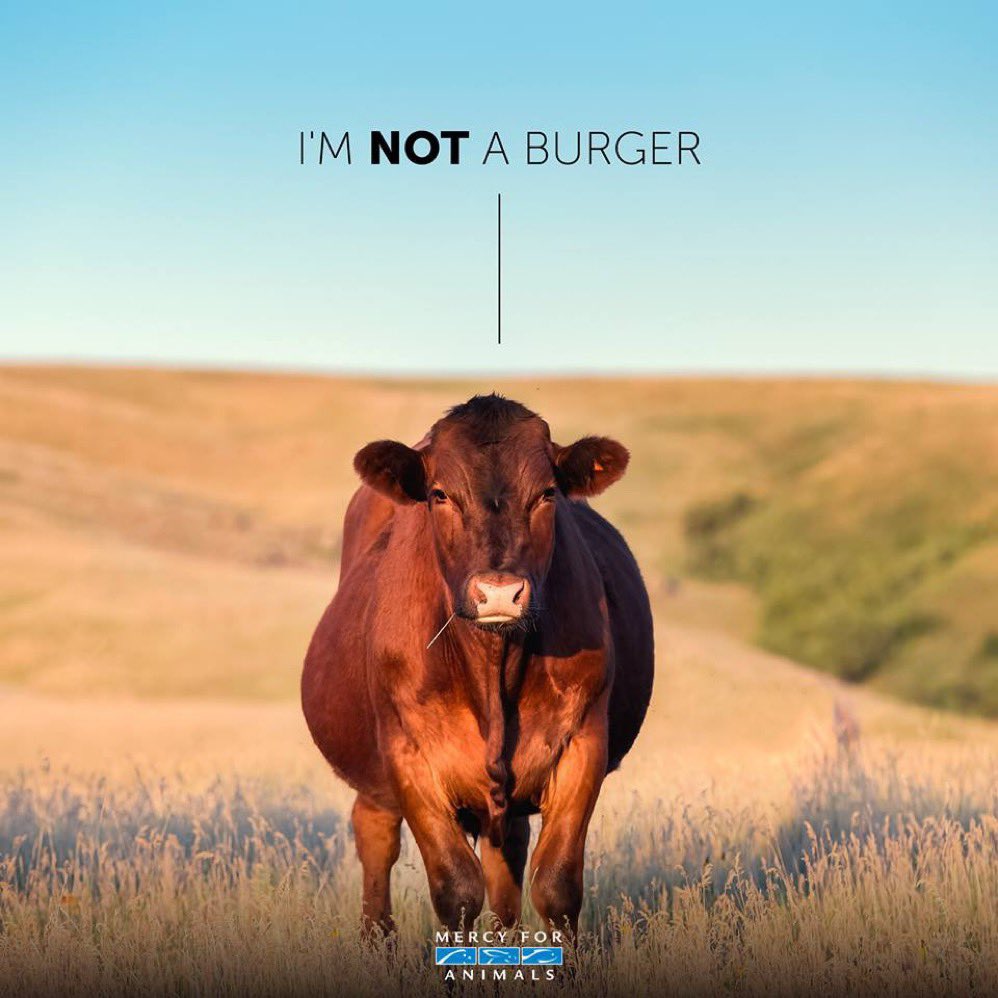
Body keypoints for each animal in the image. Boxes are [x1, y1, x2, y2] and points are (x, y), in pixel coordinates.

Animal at [301, 394, 654, 936]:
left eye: (547, 493)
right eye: (440, 495)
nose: (499, 592)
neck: (493, 664)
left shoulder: (583, 742)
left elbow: (556, 886)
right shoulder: (409, 755)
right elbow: (456, 889)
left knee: (506, 864)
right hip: (377, 781)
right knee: (376, 837)